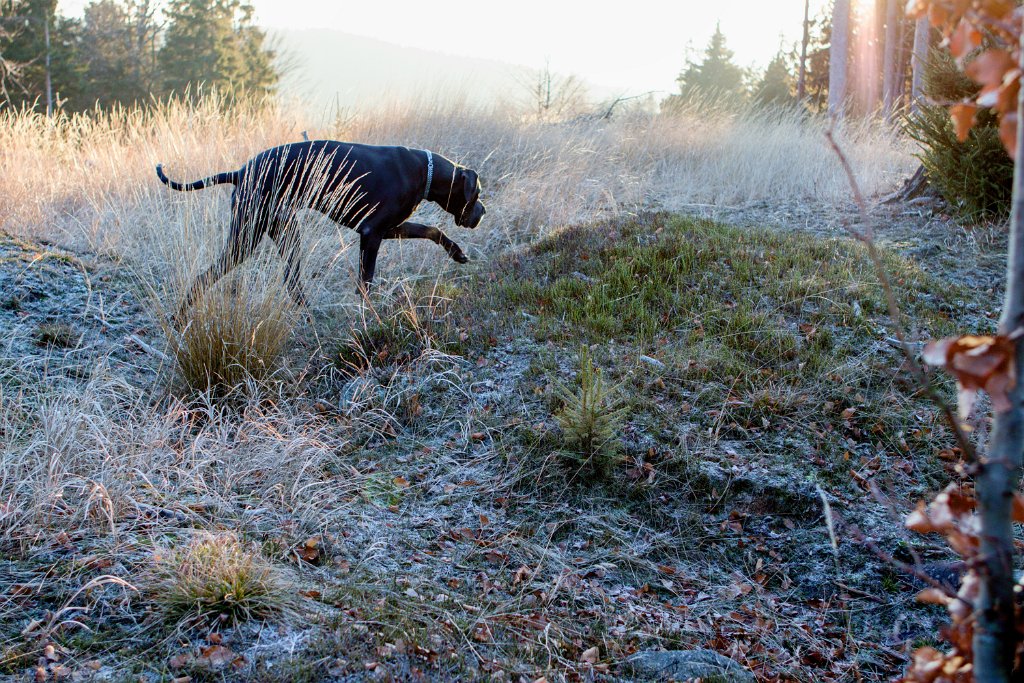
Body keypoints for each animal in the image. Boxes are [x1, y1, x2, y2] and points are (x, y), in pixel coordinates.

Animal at [154, 141, 483, 321]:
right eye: (477, 193)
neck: (425, 172)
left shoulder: (389, 229)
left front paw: (456, 252)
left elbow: (432, 230)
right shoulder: (371, 233)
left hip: (280, 229)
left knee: (284, 280)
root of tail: (239, 172)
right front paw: (368, 314)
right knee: (209, 277)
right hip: (251, 236)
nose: (482, 213)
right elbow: (366, 282)